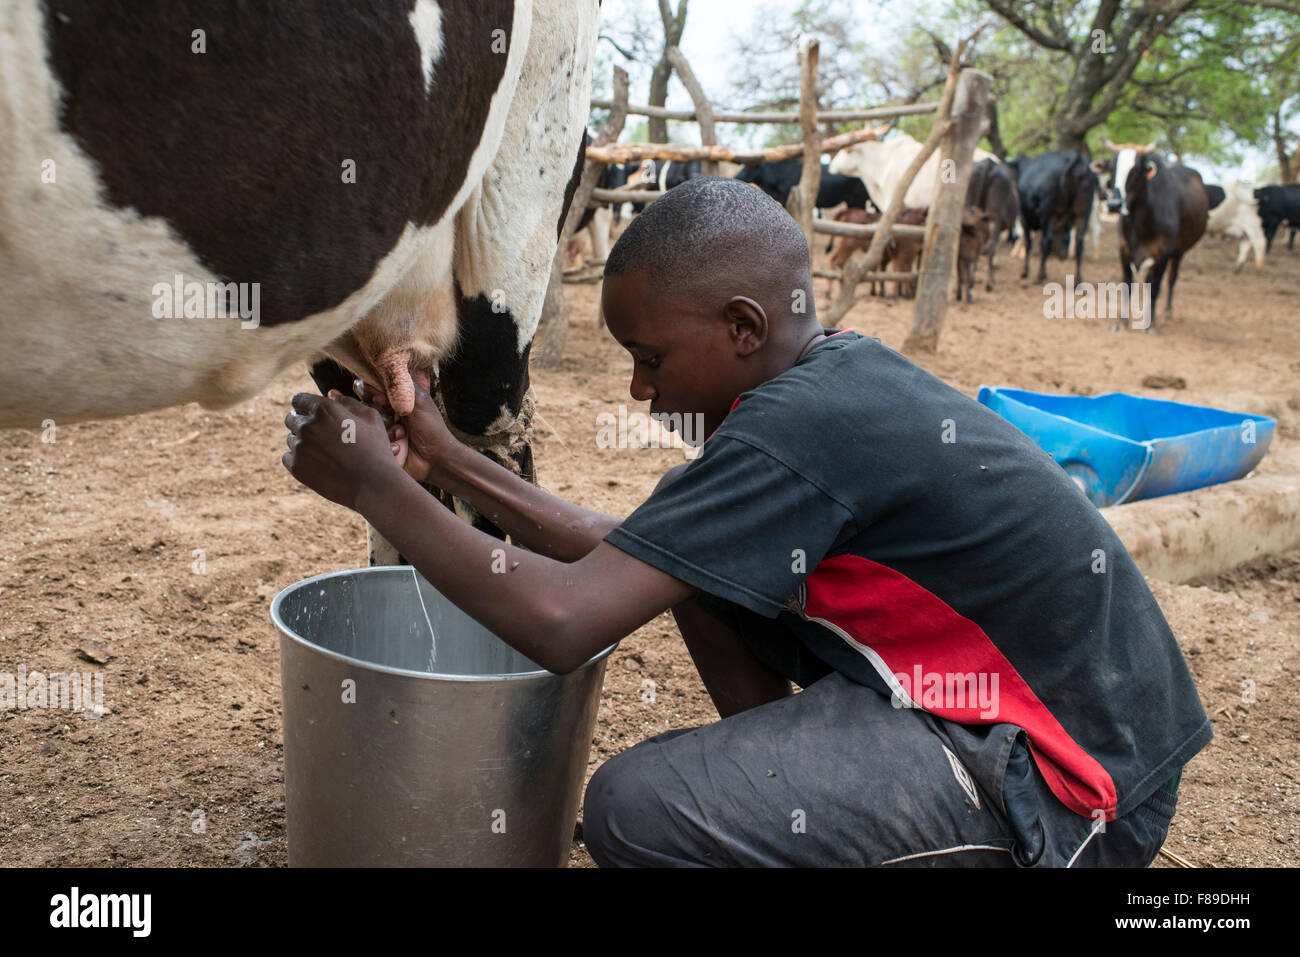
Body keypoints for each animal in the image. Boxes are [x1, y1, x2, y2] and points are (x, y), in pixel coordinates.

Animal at [1008, 150, 1097, 282]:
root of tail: (1075, 158)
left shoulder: (1025, 218)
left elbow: (1028, 243)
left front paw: (1025, 272)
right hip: (1083, 213)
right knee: (1079, 242)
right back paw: (1078, 278)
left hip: (1049, 212)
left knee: (1047, 241)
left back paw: (1041, 274)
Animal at [1114, 150, 1208, 332]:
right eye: (1110, 167)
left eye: (1136, 171)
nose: (1113, 204)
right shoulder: (1124, 249)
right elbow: (1128, 283)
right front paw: (1121, 322)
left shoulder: (1162, 253)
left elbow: (1155, 286)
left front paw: (1151, 325)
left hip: (1179, 252)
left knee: (1171, 278)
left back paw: (1167, 311)